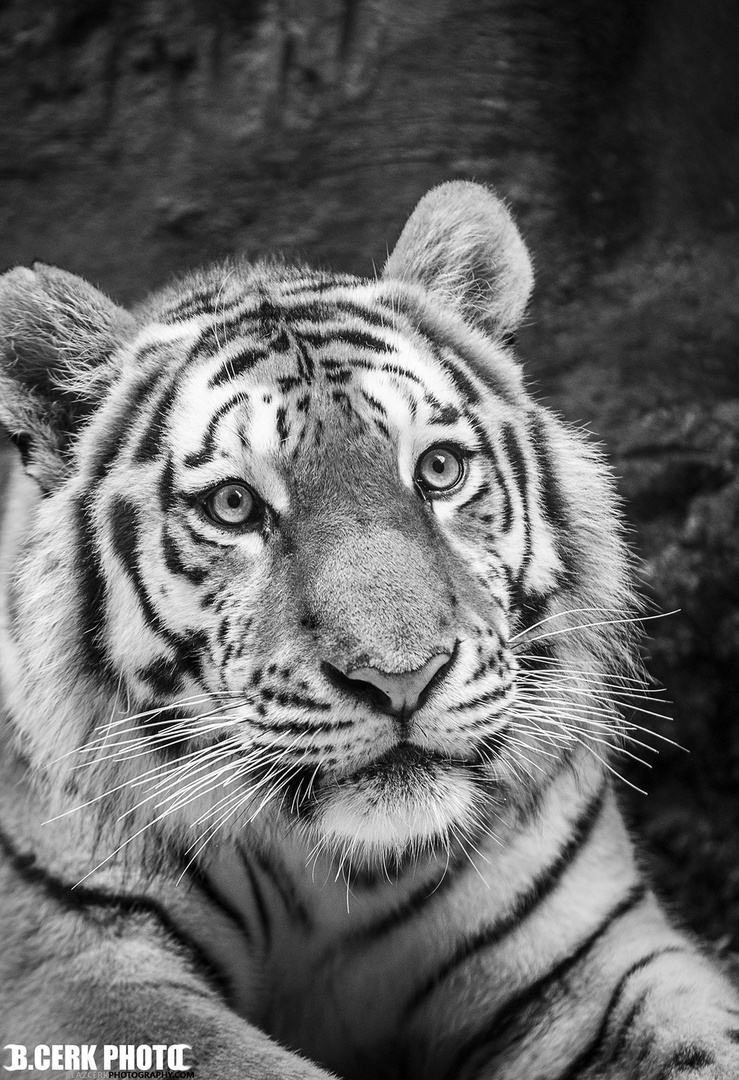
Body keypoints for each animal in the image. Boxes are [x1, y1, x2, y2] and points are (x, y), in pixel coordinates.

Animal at [0, 180, 737, 1080]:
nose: (401, 677)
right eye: (234, 506)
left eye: (439, 470)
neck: (334, 880)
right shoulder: (78, 965)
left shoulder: (591, 951)